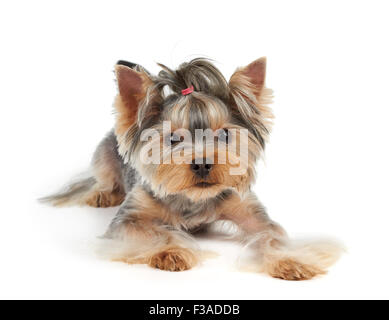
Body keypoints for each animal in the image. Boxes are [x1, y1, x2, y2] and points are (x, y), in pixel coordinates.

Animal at [41, 57, 342, 280]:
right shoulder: (129, 218)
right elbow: (150, 231)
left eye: (224, 135)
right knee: (103, 177)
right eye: (173, 138)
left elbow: (271, 235)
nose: (202, 163)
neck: (192, 197)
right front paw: (170, 252)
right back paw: (103, 194)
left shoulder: (246, 208)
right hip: (103, 154)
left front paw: (291, 260)